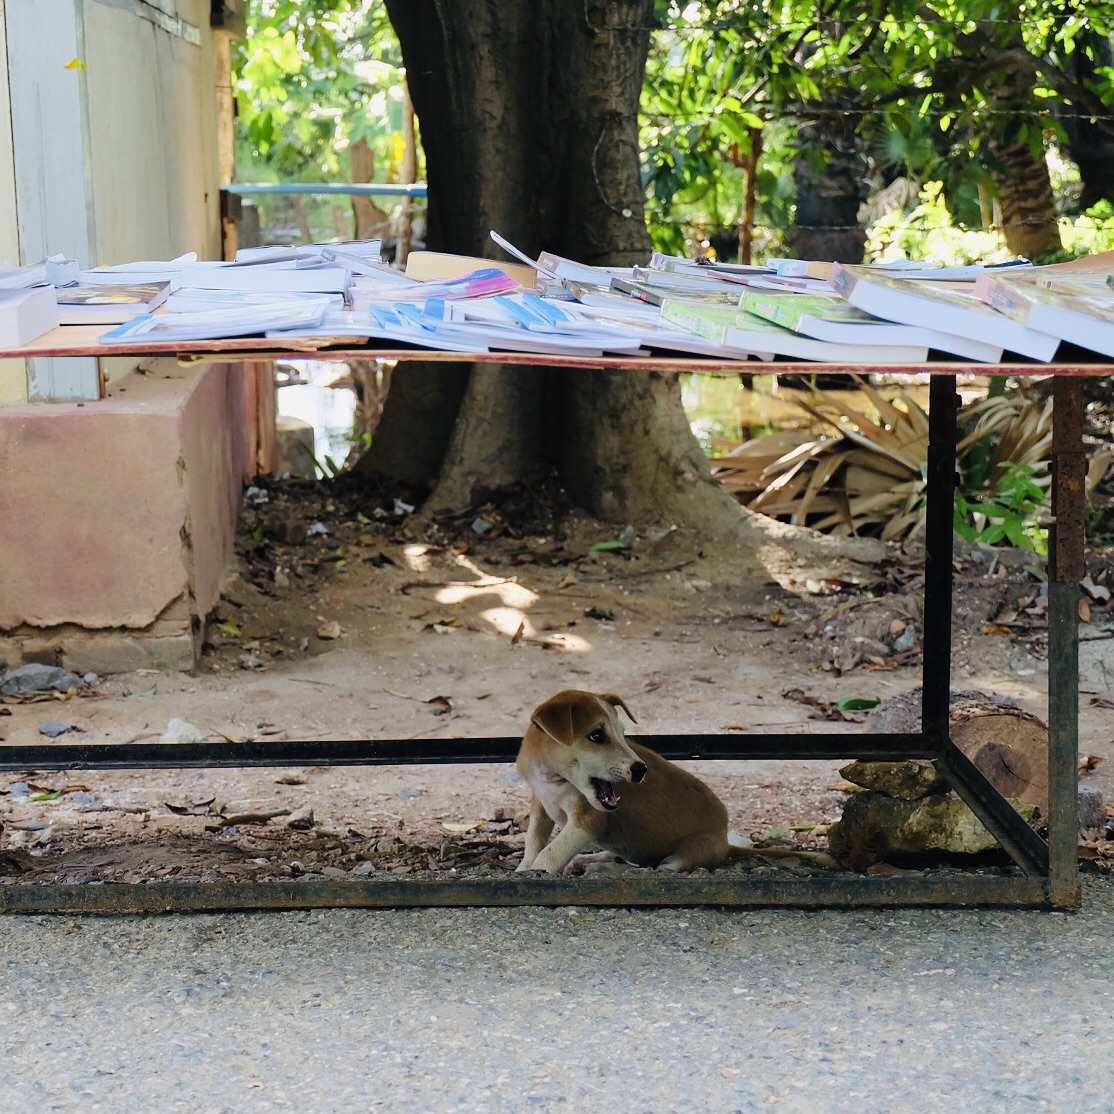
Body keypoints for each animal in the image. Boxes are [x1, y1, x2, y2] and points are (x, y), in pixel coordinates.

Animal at [512, 686, 730, 877]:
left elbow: (549, 854)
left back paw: (604, 868)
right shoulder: (540, 804)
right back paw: (587, 860)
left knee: (652, 869)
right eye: (597, 735)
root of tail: (728, 844)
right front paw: (523, 870)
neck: (553, 779)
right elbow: (533, 841)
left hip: (691, 852)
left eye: (622, 733)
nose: (641, 770)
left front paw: (535, 872)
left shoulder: (588, 819)